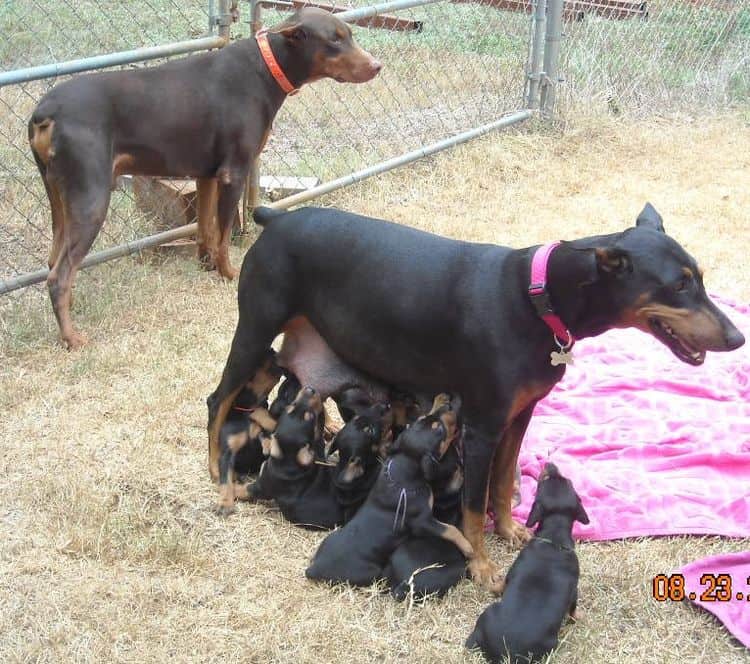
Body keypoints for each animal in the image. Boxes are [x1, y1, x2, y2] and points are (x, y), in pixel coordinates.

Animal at [28, 7, 382, 350]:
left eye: (349, 35)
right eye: (334, 40)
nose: (377, 66)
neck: (266, 70)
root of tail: (46, 111)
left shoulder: (207, 175)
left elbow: (206, 230)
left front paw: (206, 265)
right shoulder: (233, 173)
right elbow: (224, 235)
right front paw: (228, 273)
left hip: (58, 195)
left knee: (54, 261)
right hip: (91, 198)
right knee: (59, 276)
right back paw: (72, 339)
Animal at [244, 384, 344, 528]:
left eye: (310, 416)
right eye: (290, 408)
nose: (310, 389)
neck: (287, 460)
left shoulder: (261, 487)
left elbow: (242, 490)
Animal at [468, 462, 592, 664]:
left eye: (563, 479)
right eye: (568, 480)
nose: (550, 464)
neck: (554, 539)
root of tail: (506, 654)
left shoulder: (514, 571)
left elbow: (503, 584)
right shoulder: (574, 589)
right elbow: (573, 607)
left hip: (487, 613)